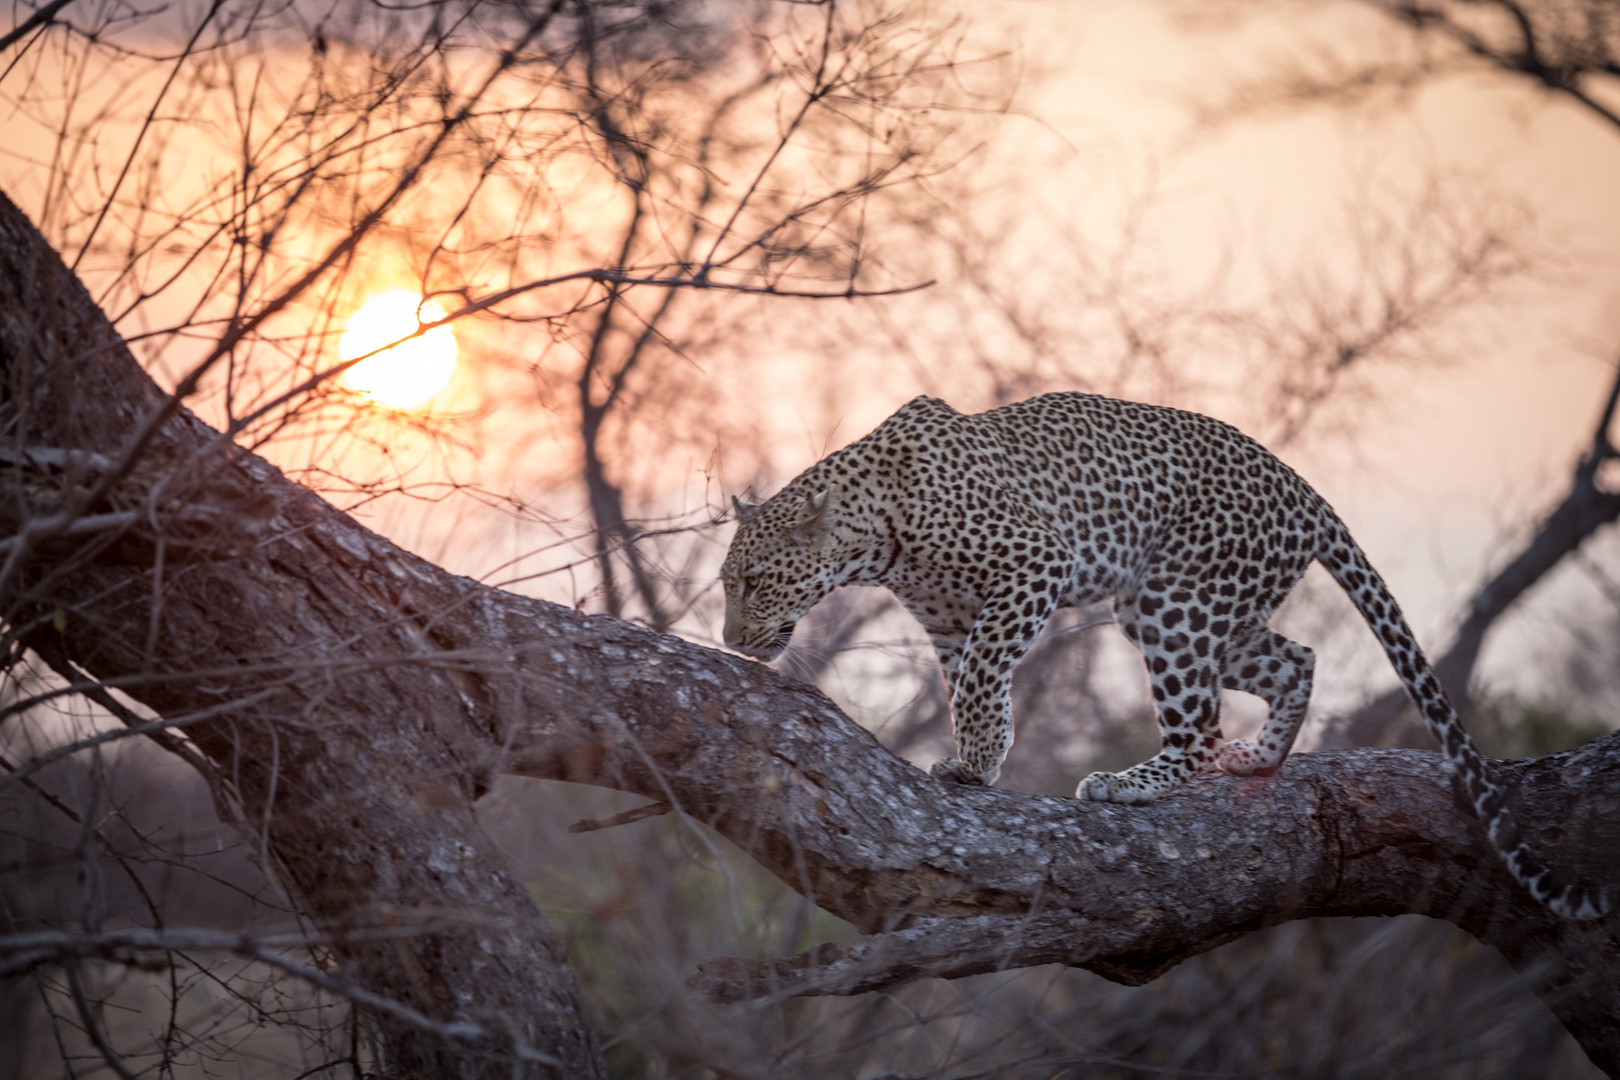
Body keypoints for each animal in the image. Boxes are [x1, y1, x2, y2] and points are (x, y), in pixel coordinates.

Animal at [729, 390, 1613, 919]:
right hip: (1192, 608)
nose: (731, 639)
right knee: (1296, 658)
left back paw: (1133, 784)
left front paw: (976, 761)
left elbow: (982, 675)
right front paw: (980, 760)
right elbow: (970, 679)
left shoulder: (1034, 566)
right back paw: (1261, 759)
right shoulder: (951, 618)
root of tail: (1302, 484)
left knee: (1201, 726)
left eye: (753, 580)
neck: (875, 536)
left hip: (1171, 606)